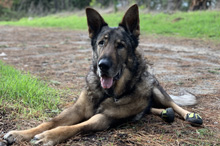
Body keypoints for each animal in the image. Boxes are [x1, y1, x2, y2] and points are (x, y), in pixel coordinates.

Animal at [3, 4, 203, 145]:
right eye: (101, 43)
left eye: (120, 45)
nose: (103, 65)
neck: (105, 92)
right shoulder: (77, 110)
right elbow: (52, 121)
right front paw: (20, 133)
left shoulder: (103, 118)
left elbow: (75, 127)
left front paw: (48, 136)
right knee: (152, 108)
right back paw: (162, 113)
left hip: (155, 88)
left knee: (172, 103)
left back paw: (190, 115)